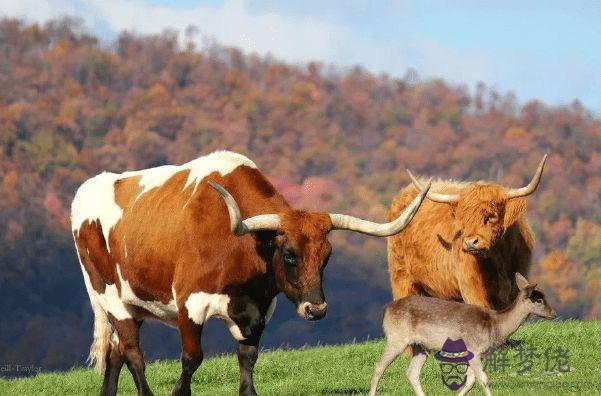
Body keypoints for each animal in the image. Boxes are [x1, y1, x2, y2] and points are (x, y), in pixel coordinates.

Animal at [71, 151, 426, 396]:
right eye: (289, 254)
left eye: (327, 256)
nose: (316, 309)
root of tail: (89, 187)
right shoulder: (190, 303)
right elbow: (192, 357)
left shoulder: (258, 311)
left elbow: (248, 358)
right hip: (109, 295)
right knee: (132, 353)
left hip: (134, 302)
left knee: (115, 352)